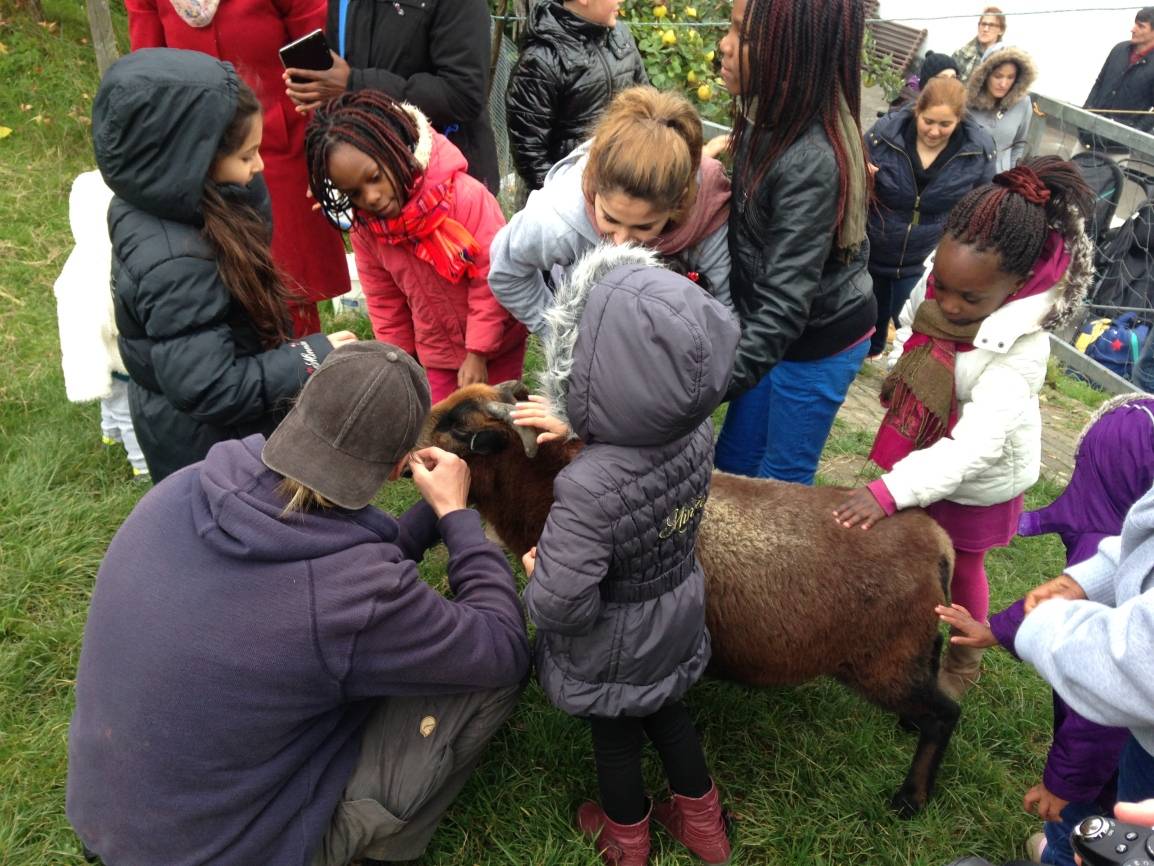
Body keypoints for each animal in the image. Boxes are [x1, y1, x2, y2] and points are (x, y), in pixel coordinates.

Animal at [420, 381, 960, 822]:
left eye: (456, 426)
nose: (408, 450)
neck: (544, 487)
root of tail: (936, 543)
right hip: (910, 646)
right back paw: (907, 728)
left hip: (881, 662)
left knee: (946, 715)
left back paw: (911, 798)